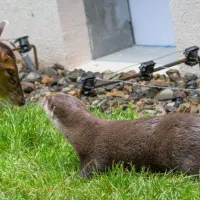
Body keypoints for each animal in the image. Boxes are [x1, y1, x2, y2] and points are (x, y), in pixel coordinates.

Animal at [41, 94, 200, 177]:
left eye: (49, 99)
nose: (44, 96)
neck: (82, 132)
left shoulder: (94, 153)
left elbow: (92, 169)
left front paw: (73, 178)